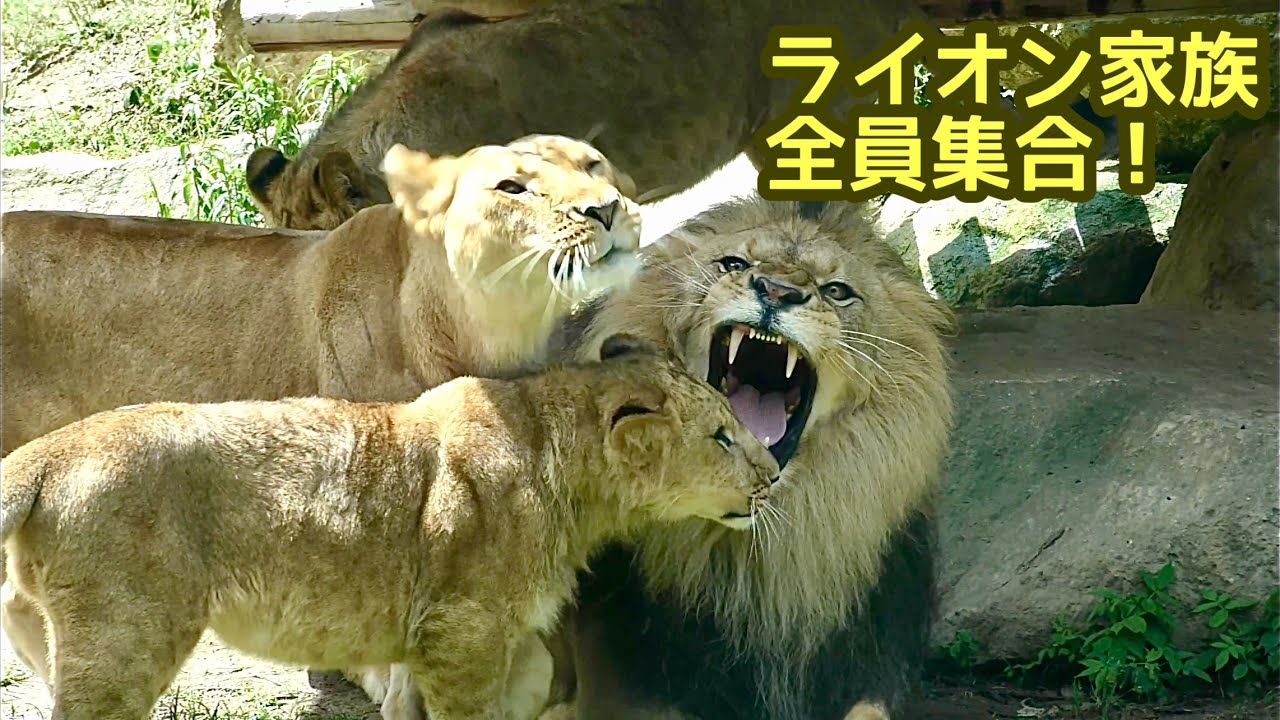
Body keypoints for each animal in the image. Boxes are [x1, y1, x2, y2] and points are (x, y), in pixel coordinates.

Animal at [0, 338, 781, 720]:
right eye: (721, 437)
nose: (774, 473)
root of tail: (48, 451)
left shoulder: (432, 634)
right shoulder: (463, 629)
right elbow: (476, 709)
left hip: (53, 628)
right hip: (127, 635)